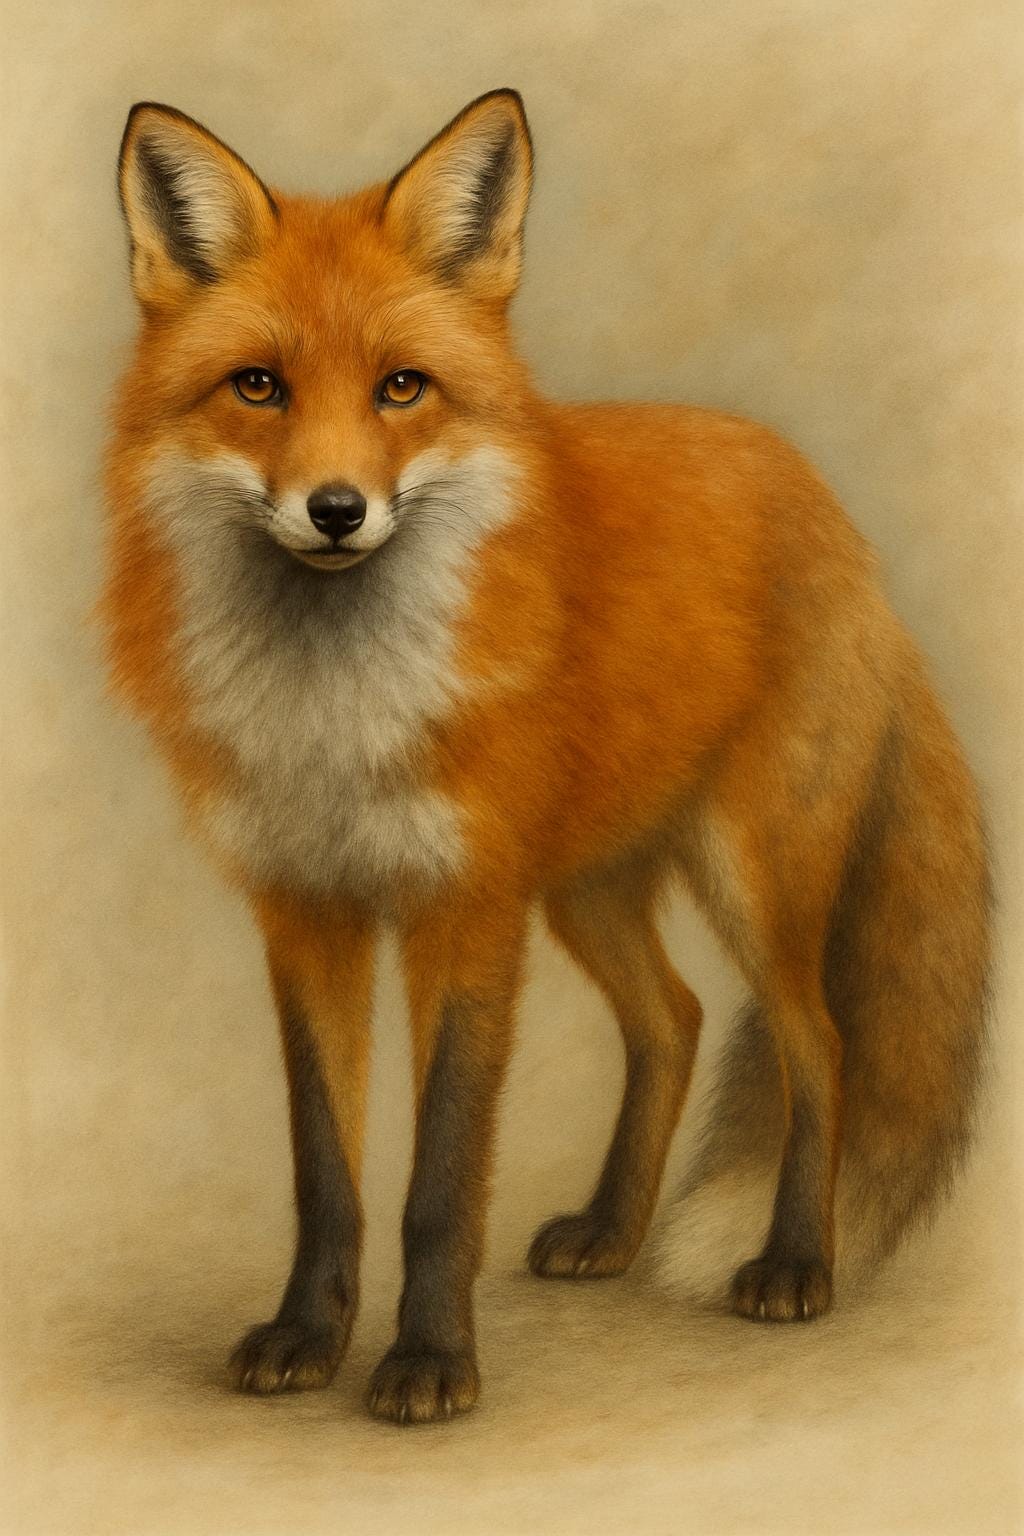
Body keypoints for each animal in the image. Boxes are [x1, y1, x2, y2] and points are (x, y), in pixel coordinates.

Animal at [103, 89, 990, 1425]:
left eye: (401, 388)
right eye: (257, 386)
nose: (335, 510)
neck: (336, 710)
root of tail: (835, 516)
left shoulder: (466, 909)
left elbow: (439, 1176)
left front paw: (429, 1364)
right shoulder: (307, 909)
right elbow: (324, 1170)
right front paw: (308, 1335)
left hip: (751, 872)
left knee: (817, 1043)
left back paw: (794, 1263)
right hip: (587, 885)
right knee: (674, 1019)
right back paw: (612, 1233)